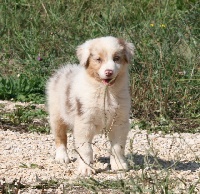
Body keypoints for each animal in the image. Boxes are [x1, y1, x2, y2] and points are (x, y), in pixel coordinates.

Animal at [46, 36, 134, 176]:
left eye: (116, 58)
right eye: (98, 59)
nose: (109, 72)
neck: (105, 92)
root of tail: (64, 70)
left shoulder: (119, 122)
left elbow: (117, 146)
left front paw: (119, 165)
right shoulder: (84, 121)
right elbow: (86, 148)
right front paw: (86, 168)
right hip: (56, 113)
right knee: (60, 137)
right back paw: (62, 157)